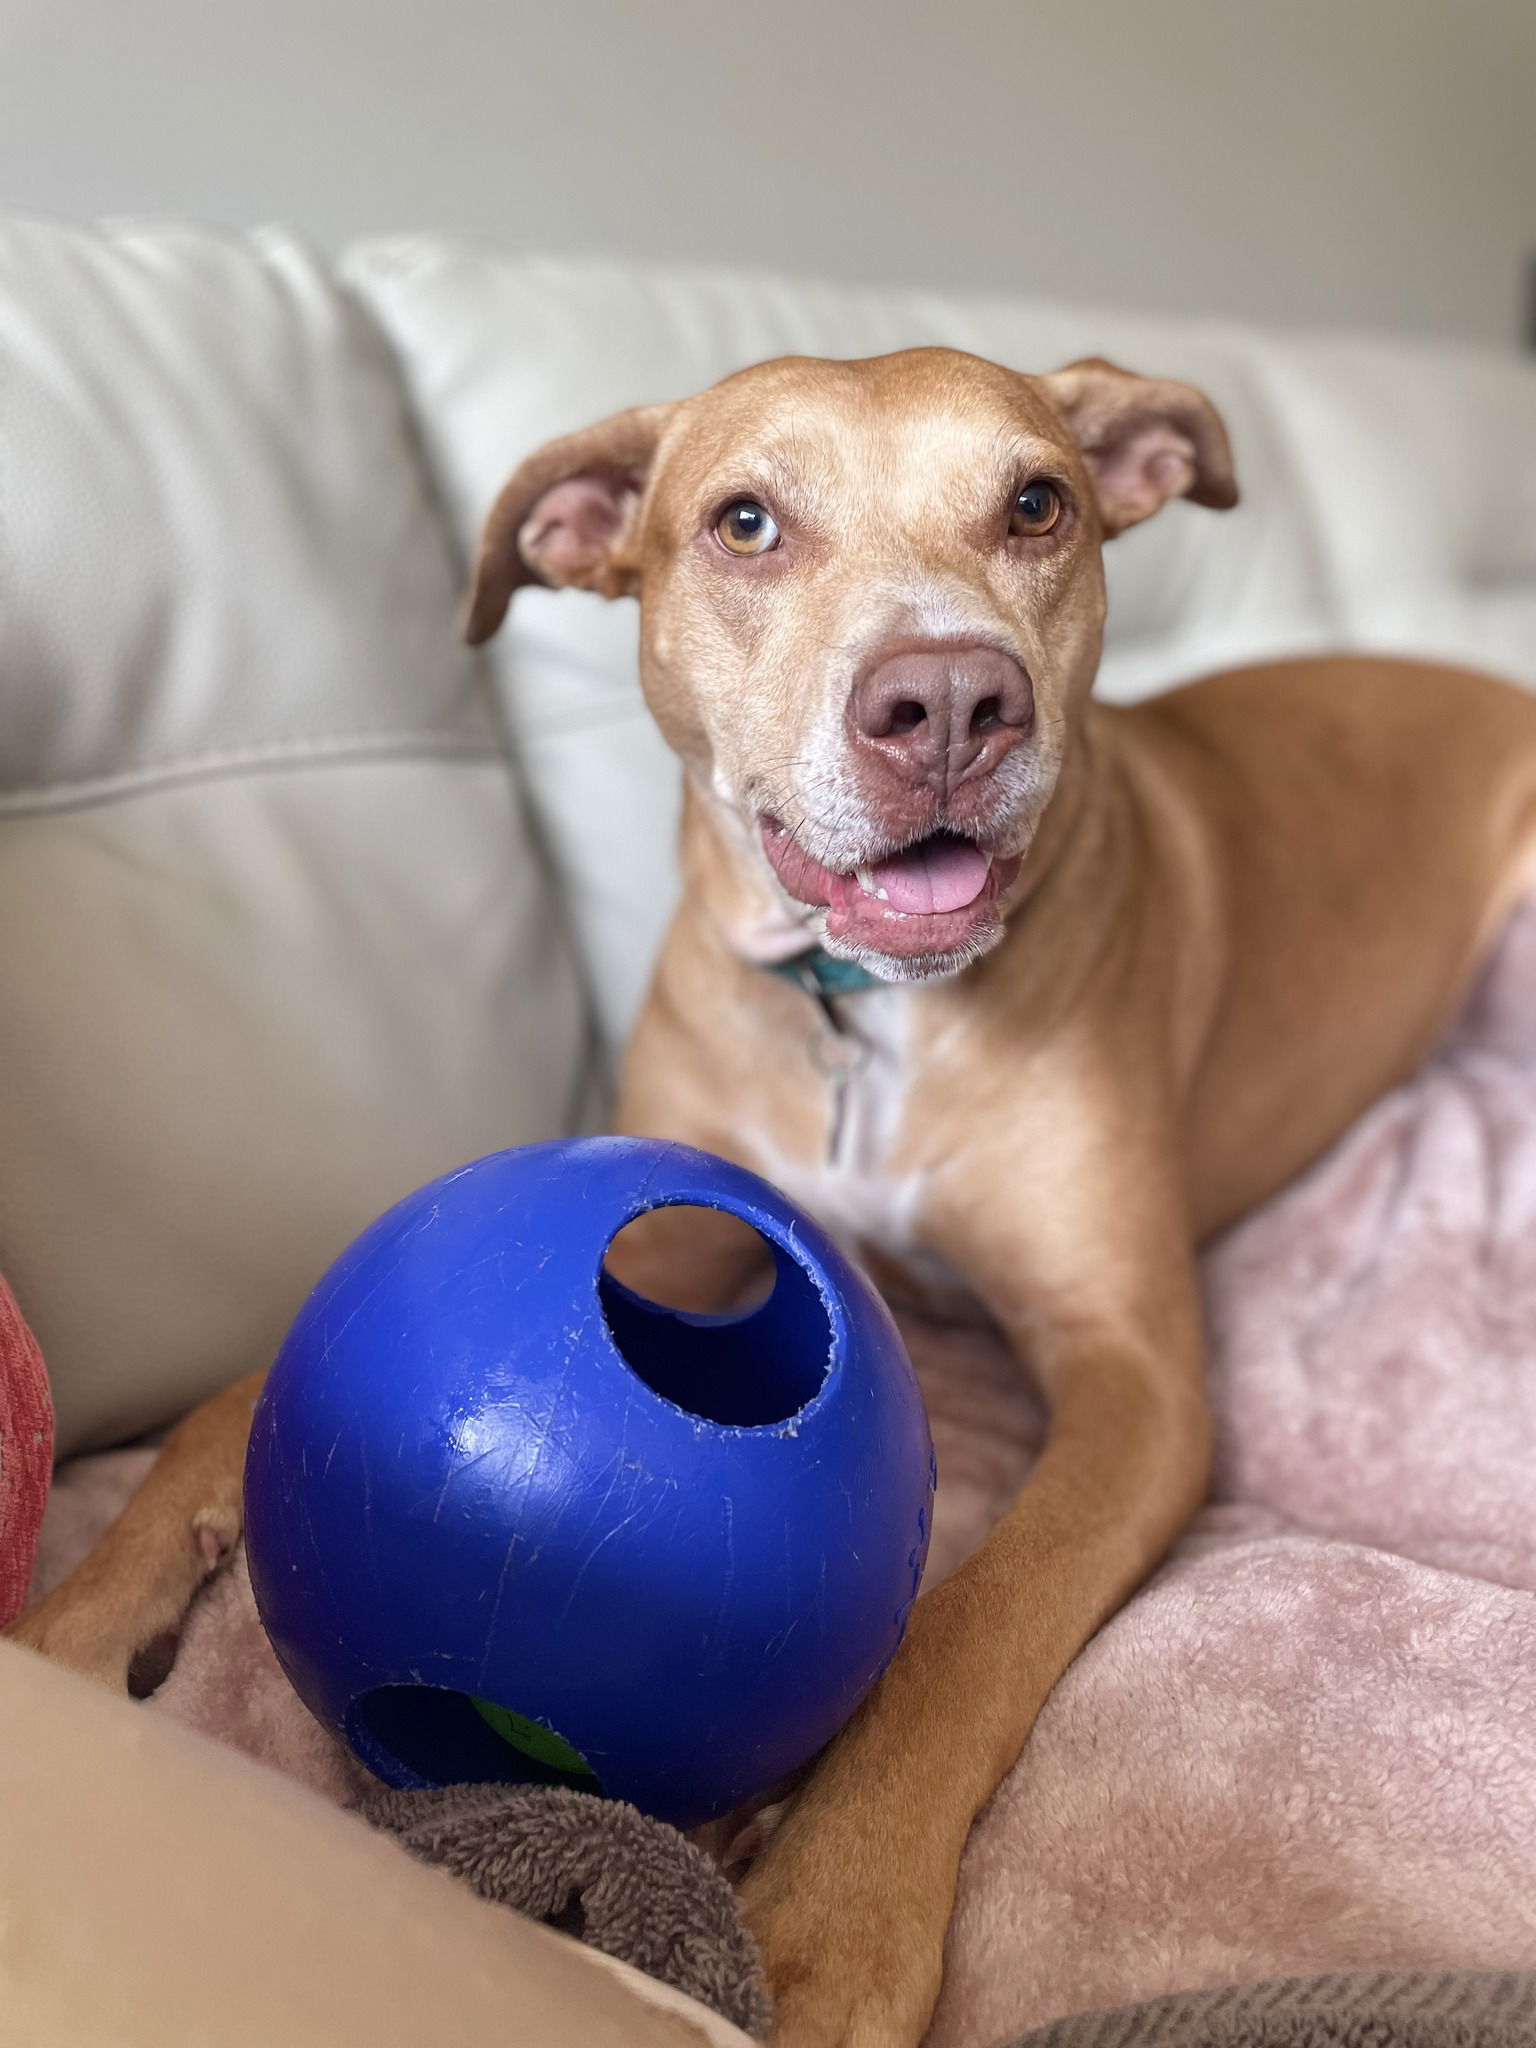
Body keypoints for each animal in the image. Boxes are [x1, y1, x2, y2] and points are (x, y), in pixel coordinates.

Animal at [12, 352, 1536, 2048]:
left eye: (1037, 502)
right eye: (744, 522)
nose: (950, 702)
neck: (856, 1014)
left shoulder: (1137, 1383)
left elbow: (971, 1622)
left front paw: (826, 1915)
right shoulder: (676, 1235)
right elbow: (236, 1400)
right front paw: (69, 1641)